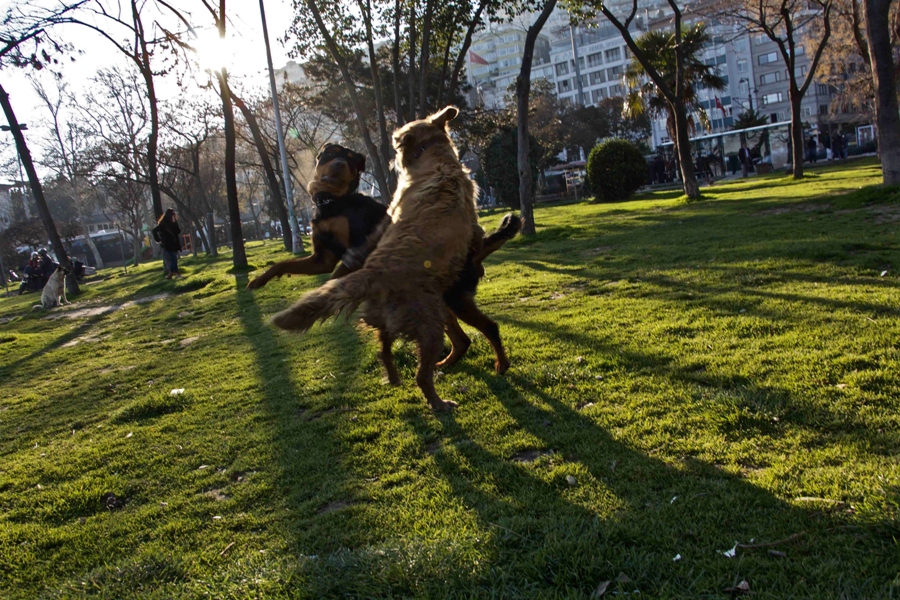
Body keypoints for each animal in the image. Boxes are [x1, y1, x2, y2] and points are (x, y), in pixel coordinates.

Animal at [246, 143, 520, 372]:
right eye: (331, 153)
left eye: (350, 160)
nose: (338, 165)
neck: (334, 200)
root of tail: (474, 251)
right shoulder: (322, 258)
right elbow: (283, 264)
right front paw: (258, 280)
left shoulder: (355, 251)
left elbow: (337, 277)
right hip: (439, 300)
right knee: (462, 340)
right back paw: (443, 364)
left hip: (455, 299)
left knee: (489, 328)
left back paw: (501, 365)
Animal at [272, 105, 478, 410]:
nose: (391, 157)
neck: (437, 158)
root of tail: (375, 275)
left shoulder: (390, 213)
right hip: (430, 325)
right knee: (422, 374)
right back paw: (439, 402)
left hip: (394, 318)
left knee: (385, 348)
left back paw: (393, 376)